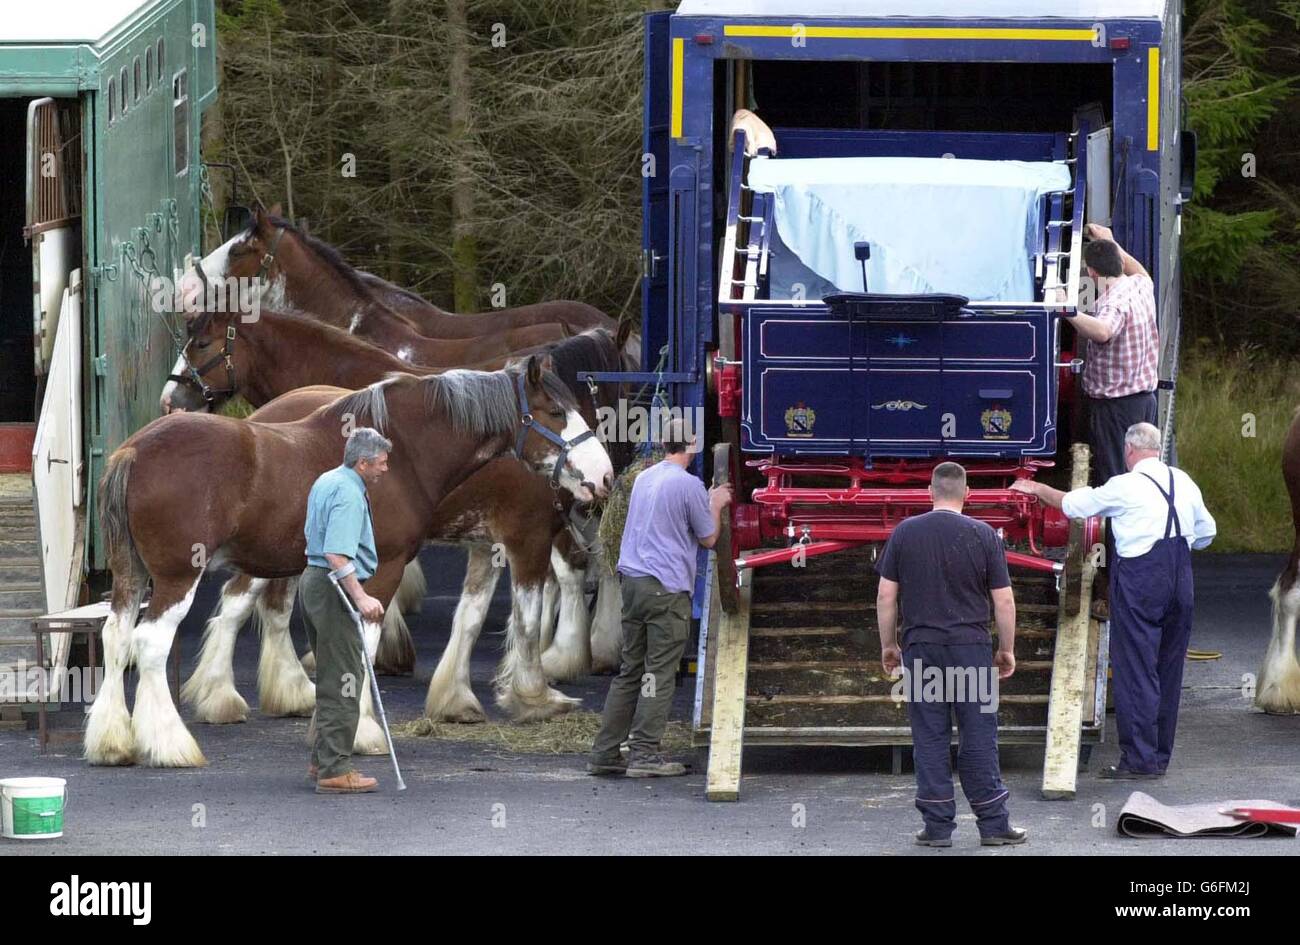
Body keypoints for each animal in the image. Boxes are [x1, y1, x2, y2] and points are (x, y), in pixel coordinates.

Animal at [89, 361, 611, 769]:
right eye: (556, 412)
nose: (604, 476)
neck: (402, 452)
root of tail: (134, 450)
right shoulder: (385, 569)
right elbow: (365, 643)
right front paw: (365, 732)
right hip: (178, 577)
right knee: (150, 643)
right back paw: (170, 744)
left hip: (133, 577)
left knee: (116, 637)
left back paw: (113, 742)